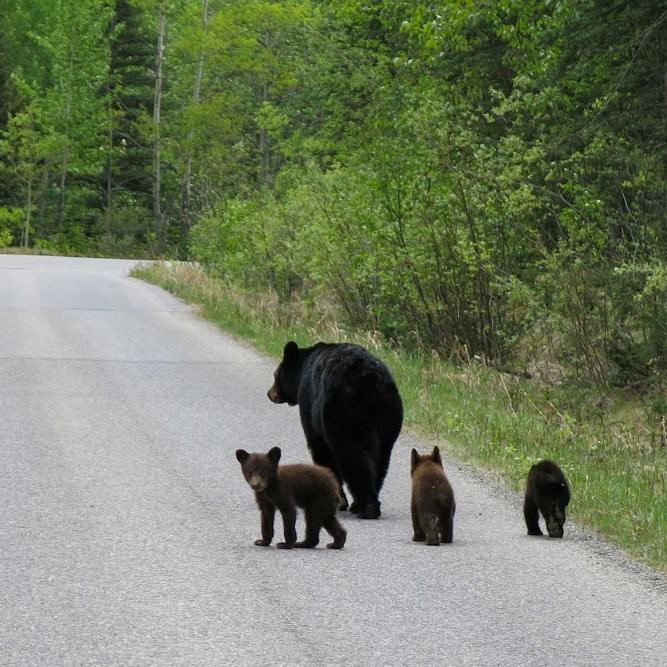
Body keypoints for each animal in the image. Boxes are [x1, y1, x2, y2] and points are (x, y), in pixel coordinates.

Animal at [266, 342, 402, 520]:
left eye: (275, 374)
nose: (269, 394)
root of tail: (369, 382)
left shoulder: (309, 403)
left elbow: (320, 450)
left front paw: (337, 500)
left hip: (342, 413)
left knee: (351, 456)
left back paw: (365, 507)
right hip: (388, 417)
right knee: (381, 459)